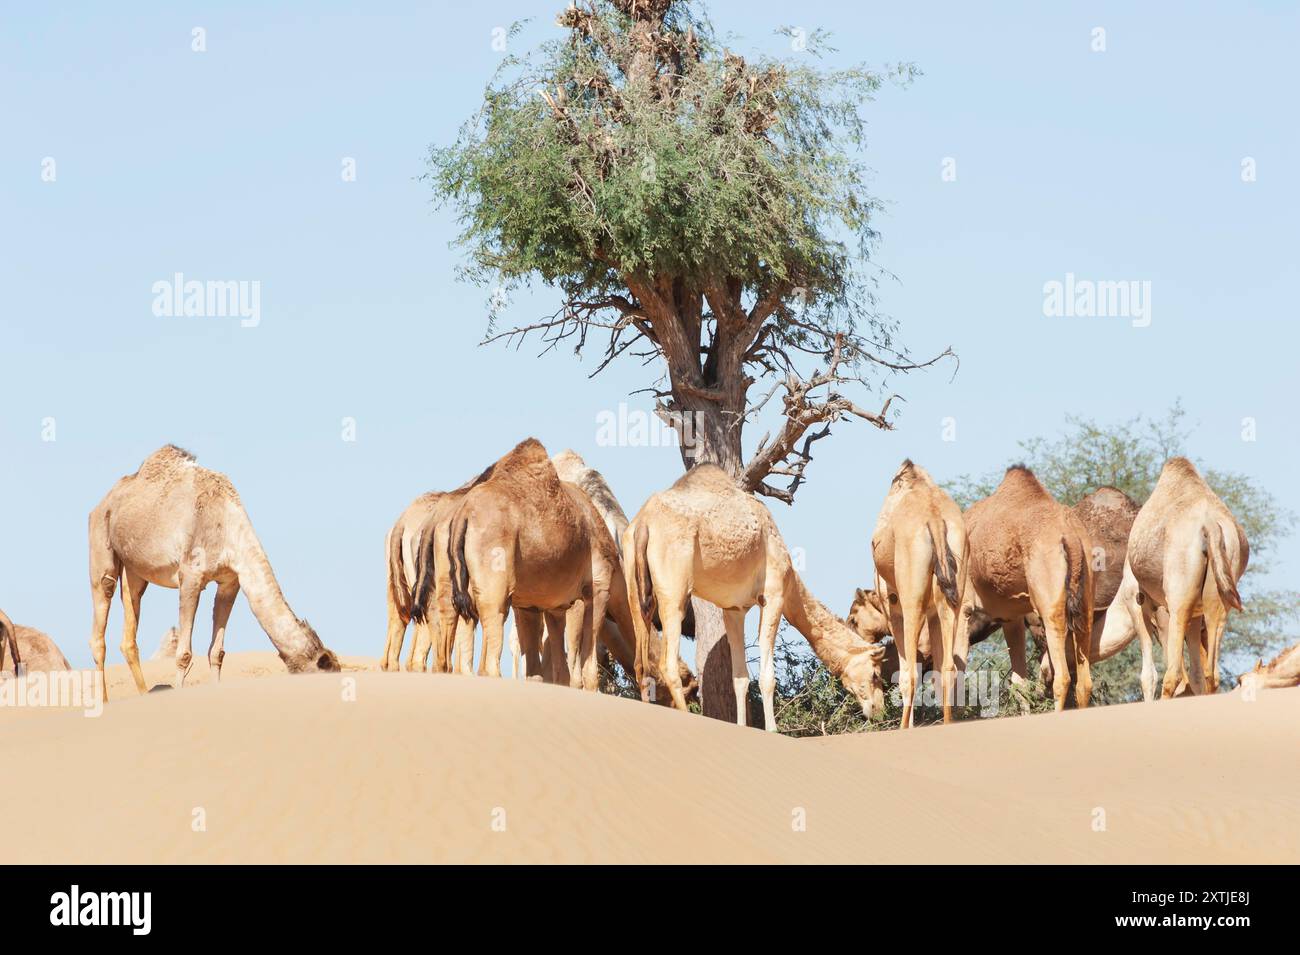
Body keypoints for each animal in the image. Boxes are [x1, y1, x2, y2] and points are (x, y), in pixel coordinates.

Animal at [87, 444, 340, 696]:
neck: (227, 522)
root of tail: (103, 502)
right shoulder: (190, 576)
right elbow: (183, 654)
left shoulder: (230, 581)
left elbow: (217, 652)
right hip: (101, 542)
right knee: (102, 609)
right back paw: (104, 699)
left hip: (134, 570)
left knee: (129, 628)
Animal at [624, 465, 889, 732]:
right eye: (876, 673)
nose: (878, 709)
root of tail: (643, 523)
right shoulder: (774, 595)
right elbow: (767, 676)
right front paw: (772, 730)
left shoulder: (733, 609)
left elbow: (740, 678)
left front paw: (742, 727)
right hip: (674, 589)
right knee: (667, 664)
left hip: (633, 586)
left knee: (640, 664)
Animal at [873, 462, 967, 722]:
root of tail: (934, 519)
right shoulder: (933, 614)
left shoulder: (892, 607)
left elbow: (906, 675)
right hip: (952, 599)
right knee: (947, 669)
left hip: (911, 602)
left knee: (911, 676)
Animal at [961, 462, 1092, 712]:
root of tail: (1070, 537)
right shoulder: (1010, 616)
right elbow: (1019, 683)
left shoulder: (964, 607)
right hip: (1086, 601)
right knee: (1084, 682)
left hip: (1050, 605)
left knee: (1062, 677)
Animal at [1107, 459, 1248, 696]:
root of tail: (1210, 525)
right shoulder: (1196, 612)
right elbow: (1197, 676)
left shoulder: (1136, 600)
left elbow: (1148, 676)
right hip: (1218, 593)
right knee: (1211, 673)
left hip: (1178, 598)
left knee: (1173, 674)